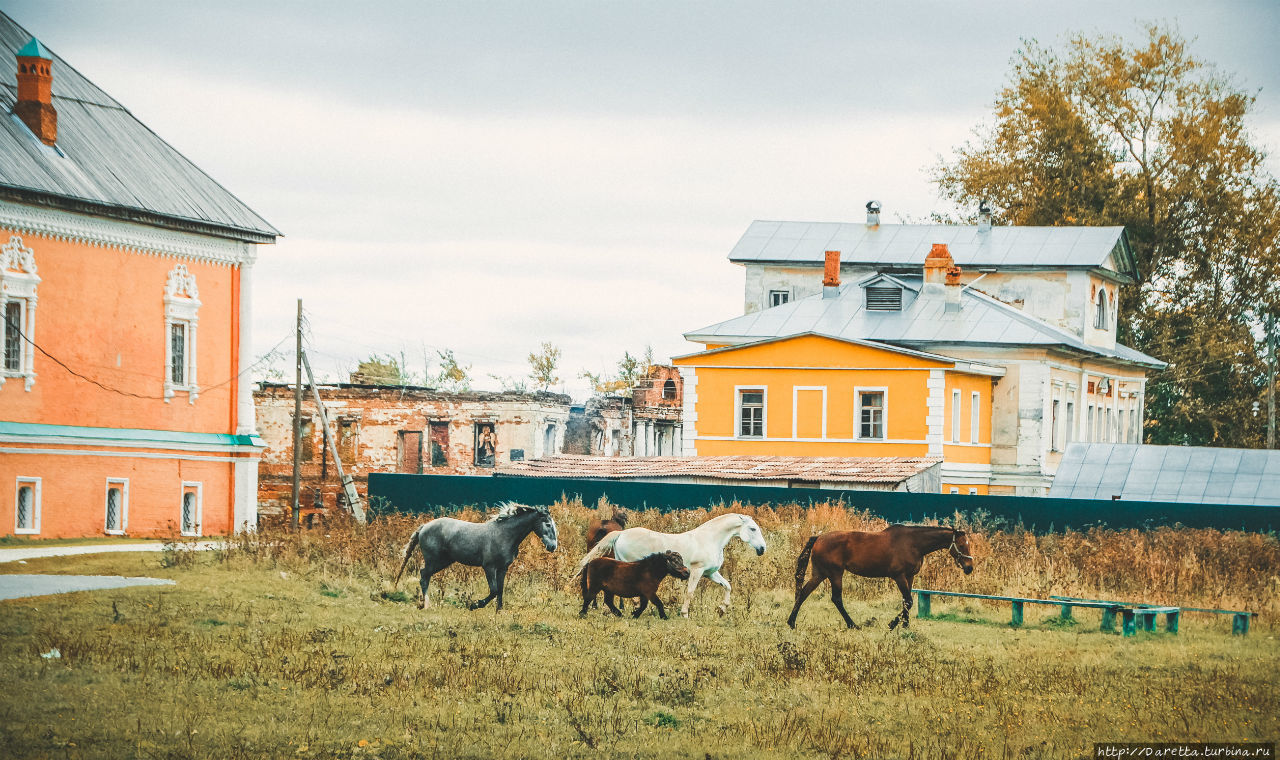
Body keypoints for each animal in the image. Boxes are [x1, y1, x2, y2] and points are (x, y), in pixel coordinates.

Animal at [391, 504, 558, 609]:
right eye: (548, 524)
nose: (553, 547)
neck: (504, 534)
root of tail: (425, 526)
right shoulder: (489, 567)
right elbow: (494, 590)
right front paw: (474, 605)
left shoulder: (502, 569)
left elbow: (500, 590)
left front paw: (499, 611)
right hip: (434, 560)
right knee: (424, 576)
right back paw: (426, 605)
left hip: (444, 561)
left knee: (424, 575)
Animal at [573, 509, 768, 614]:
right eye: (752, 529)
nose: (762, 549)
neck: (710, 539)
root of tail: (621, 533)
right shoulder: (697, 571)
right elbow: (690, 592)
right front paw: (684, 613)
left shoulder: (711, 573)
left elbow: (728, 586)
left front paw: (722, 609)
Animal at [783, 524, 972, 629]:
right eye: (962, 545)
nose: (969, 568)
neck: (914, 543)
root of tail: (819, 537)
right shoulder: (899, 576)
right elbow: (909, 601)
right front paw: (893, 624)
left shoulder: (909, 577)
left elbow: (906, 602)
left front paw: (905, 626)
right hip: (835, 573)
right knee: (836, 598)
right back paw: (853, 624)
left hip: (820, 573)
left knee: (803, 593)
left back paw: (791, 622)